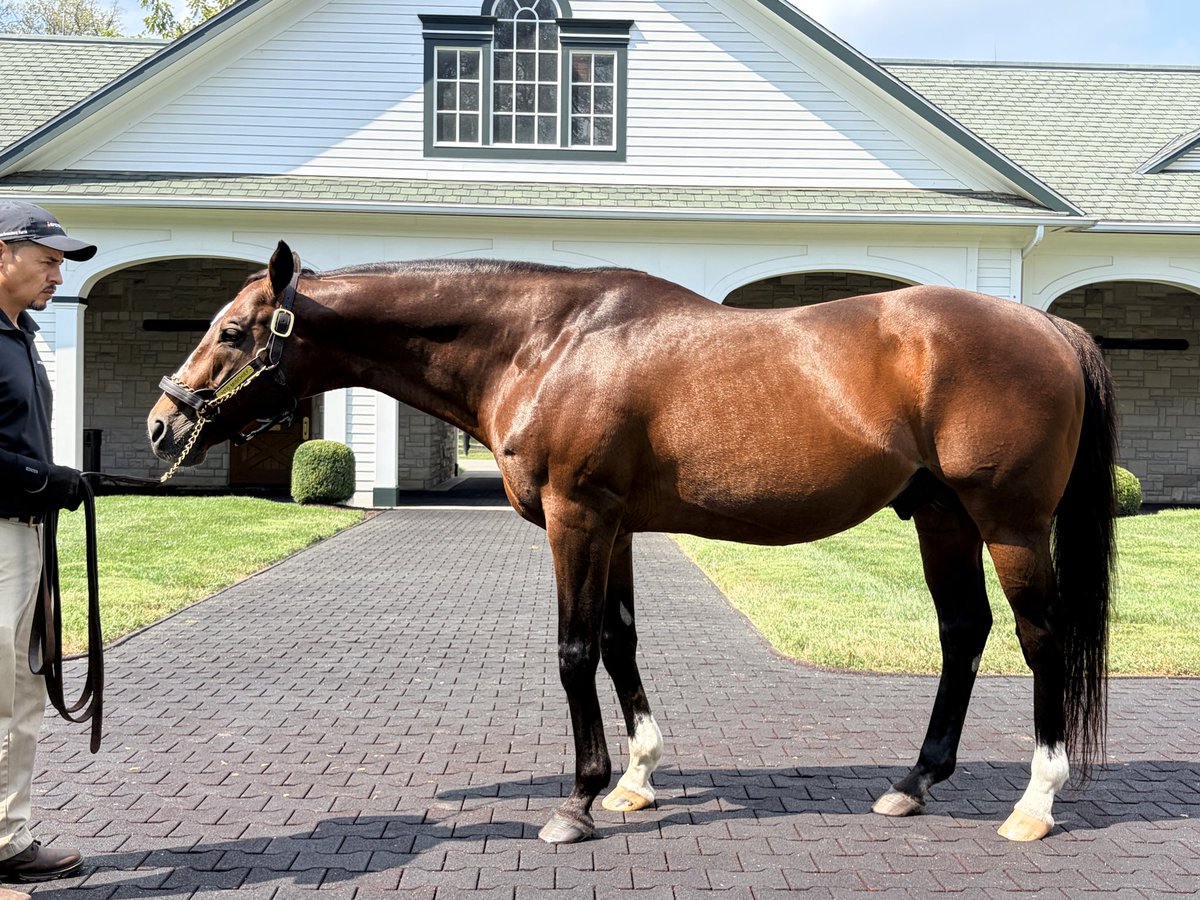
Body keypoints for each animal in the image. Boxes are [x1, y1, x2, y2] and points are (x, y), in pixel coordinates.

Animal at [147, 240, 1116, 845]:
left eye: (233, 331)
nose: (164, 423)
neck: (546, 343)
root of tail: (1048, 325)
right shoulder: (610, 525)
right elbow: (619, 640)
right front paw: (635, 780)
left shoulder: (577, 516)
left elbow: (576, 651)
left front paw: (575, 801)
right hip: (942, 516)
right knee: (963, 633)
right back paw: (912, 784)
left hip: (1009, 522)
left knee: (1041, 638)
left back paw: (1035, 802)